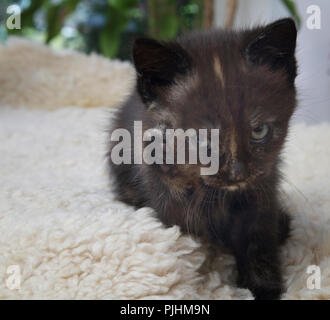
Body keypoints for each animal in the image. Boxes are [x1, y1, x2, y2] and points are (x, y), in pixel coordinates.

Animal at [107, 18, 296, 300]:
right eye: (200, 139)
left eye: (259, 131)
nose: (237, 173)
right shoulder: (165, 191)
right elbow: (192, 249)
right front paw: (203, 285)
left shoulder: (263, 186)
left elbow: (259, 237)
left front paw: (263, 286)